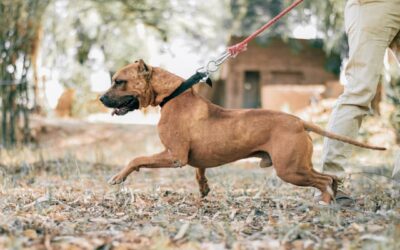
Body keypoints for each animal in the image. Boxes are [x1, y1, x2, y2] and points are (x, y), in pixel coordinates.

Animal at [99, 59, 384, 204]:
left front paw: (118, 177)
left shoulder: (174, 156)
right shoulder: (192, 158)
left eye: (119, 81)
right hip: (298, 165)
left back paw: (324, 201)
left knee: (323, 180)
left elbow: (137, 159)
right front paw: (204, 189)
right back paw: (334, 195)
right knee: (330, 176)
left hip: (290, 169)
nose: (100, 98)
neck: (173, 95)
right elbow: (200, 172)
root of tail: (299, 121)